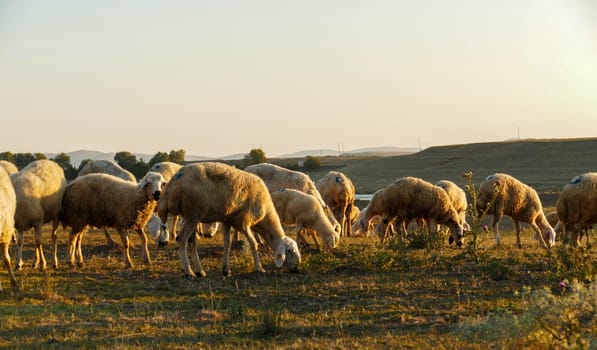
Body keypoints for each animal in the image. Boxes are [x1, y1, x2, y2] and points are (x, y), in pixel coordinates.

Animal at [156, 162, 300, 278]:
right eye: (290, 252)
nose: (296, 269)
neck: (264, 217)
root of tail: (173, 185)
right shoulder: (244, 220)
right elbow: (253, 243)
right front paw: (259, 268)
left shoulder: (227, 220)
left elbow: (227, 243)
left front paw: (226, 270)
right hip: (194, 213)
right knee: (182, 240)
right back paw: (188, 272)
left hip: (191, 216)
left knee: (191, 242)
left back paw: (199, 271)